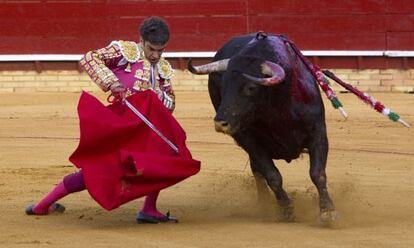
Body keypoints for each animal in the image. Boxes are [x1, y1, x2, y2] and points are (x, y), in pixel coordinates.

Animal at [190, 32, 340, 223]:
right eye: (223, 86)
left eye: (251, 87)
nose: (220, 123)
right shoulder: (250, 141)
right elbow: (272, 176)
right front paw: (286, 209)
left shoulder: (318, 133)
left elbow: (317, 173)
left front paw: (328, 211)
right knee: (258, 173)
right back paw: (264, 204)